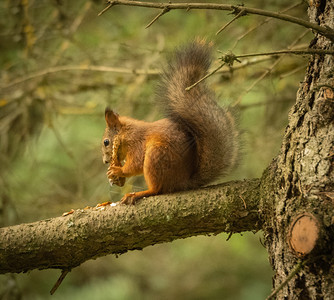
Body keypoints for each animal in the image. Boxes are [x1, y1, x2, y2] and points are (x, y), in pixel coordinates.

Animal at [100, 40, 239, 204]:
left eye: (106, 142)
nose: (105, 161)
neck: (127, 133)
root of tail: (182, 182)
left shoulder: (136, 143)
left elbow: (136, 164)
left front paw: (118, 170)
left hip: (156, 156)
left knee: (158, 189)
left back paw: (139, 193)